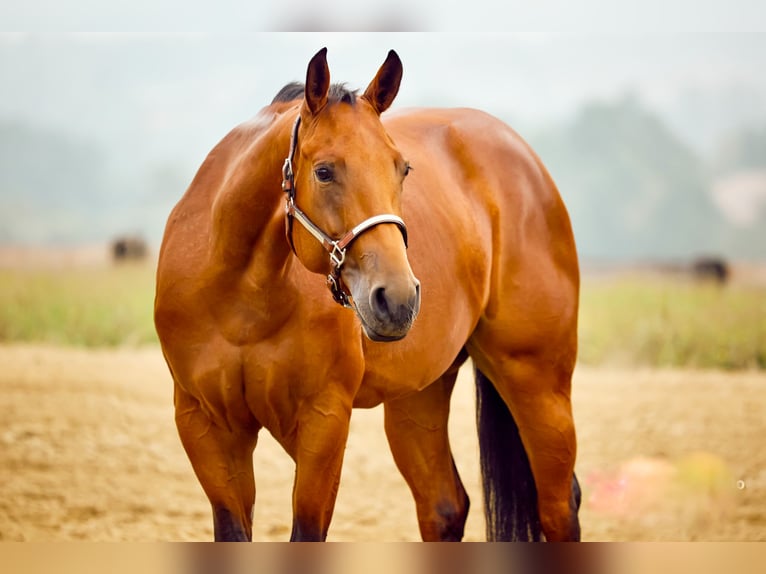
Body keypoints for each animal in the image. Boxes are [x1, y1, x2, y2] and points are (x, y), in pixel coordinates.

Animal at [156, 47, 584, 544]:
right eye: (324, 171)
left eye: (403, 169)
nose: (397, 300)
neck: (242, 301)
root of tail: (528, 163)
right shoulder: (205, 425)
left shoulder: (324, 420)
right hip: (419, 396)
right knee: (444, 507)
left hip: (536, 380)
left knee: (558, 506)